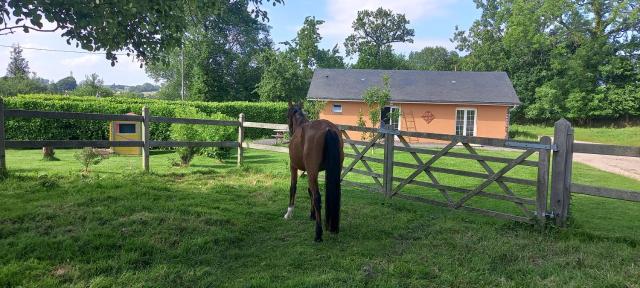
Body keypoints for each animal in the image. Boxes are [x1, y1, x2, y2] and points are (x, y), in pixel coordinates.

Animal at [286, 102, 344, 242]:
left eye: (287, 116)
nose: (290, 131)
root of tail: (328, 129)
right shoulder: (309, 172)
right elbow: (309, 191)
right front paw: (312, 215)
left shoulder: (293, 166)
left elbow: (293, 187)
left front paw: (289, 212)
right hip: (331, 171)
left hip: (311, 172)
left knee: (318, 197)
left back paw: (318, 233)